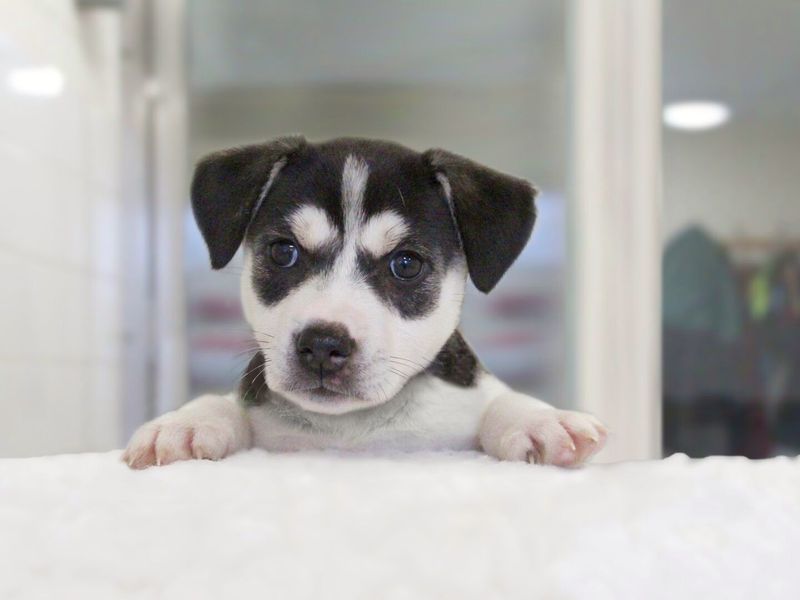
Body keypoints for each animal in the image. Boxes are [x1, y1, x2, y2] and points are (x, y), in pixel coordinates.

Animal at [123, 137, 608, 468]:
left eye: (406, 264)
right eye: (283, 252)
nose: (322, 344)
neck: (354, 425)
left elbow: (497, 401)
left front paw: (538, 420)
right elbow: (229, 406)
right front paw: (187, 423)